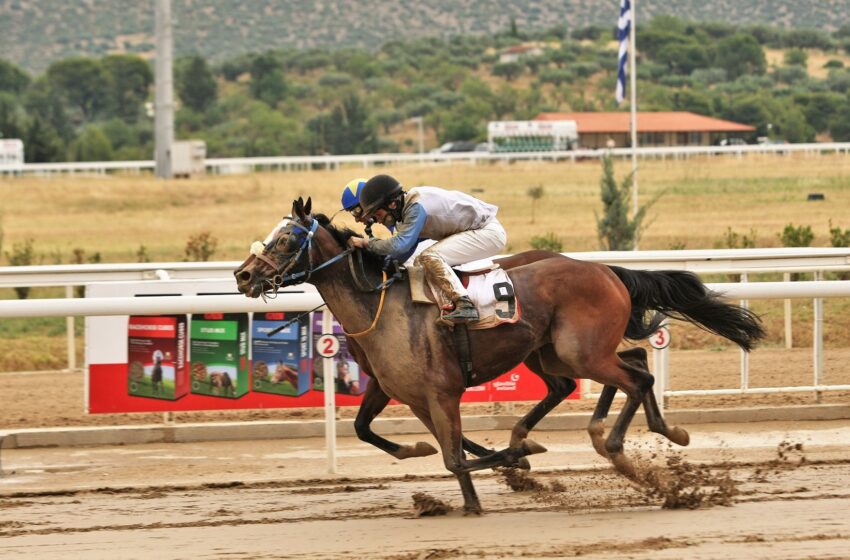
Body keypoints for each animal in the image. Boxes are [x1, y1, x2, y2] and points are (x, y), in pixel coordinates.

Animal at [234, 199, 760, 516]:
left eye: (286, 239)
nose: (242, 275)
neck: (381, 306)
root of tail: (605, 270)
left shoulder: (441, 392)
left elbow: (455, 458)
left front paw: (515, 465)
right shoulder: (408, 393)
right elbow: (386, 435)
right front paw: (445, 468)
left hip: (578, 351)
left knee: (636, 380)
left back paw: (617, 447)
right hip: (559, 353)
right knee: (625, 365)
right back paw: (648, 432)